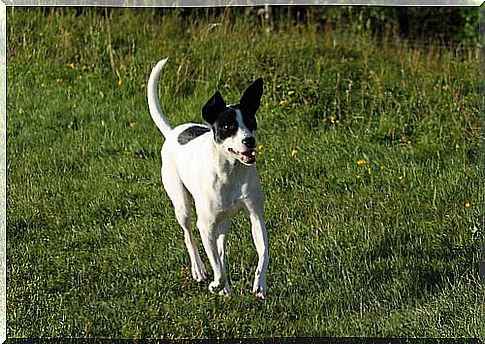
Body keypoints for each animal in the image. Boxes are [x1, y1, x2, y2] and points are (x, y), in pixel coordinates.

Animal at [147, 58, 268, 298]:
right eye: (228, 126)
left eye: (251, 121)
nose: (249, 141)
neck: (230, 173)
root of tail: (172, 132)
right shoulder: (205, 225)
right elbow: (217, 269)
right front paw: (215, 284)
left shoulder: (255, 216)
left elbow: (263, 254)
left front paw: (259, 284)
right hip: (182, 204)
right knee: (188, 234)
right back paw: (200, 271)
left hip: (223, 221)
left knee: (220, 250)